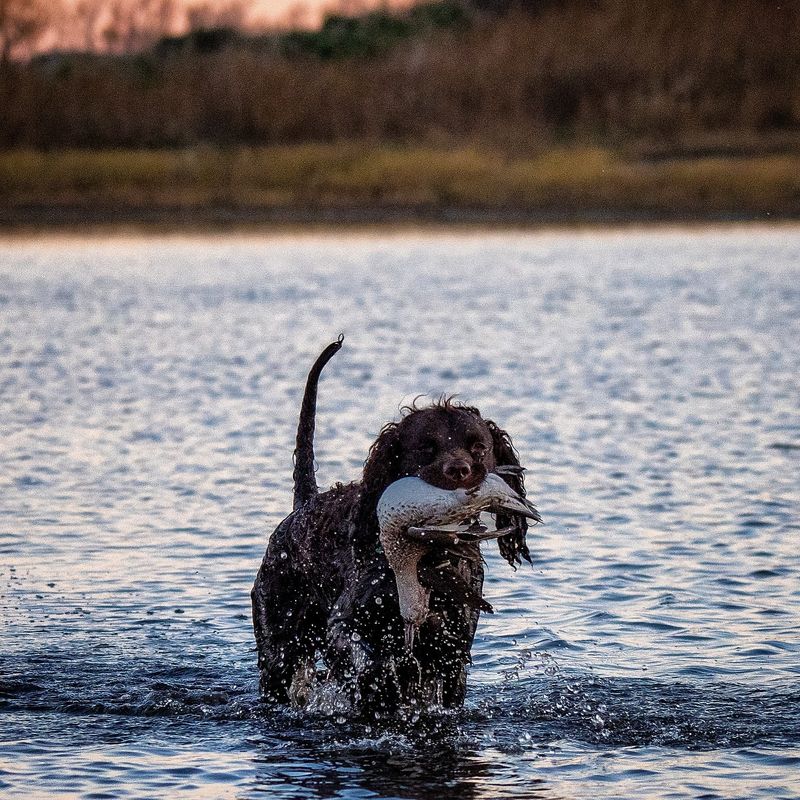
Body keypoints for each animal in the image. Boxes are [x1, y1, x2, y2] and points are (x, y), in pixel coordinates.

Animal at [250, 340, 532, 716]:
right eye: (426, 447)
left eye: (479, 447)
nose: (460, 471)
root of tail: (303, 506)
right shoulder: (344, 625)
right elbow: (369, 663)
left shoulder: (453, 650)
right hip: (278, 648)